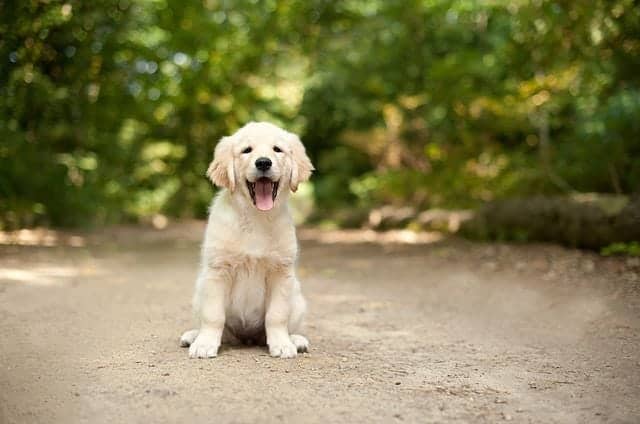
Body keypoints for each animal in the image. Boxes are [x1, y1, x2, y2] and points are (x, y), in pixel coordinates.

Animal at [179, 121, 314, 358]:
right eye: (247, 150)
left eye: (277, 149)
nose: (263, 162)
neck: (256, 217)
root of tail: (246, 337)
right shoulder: (218, 271)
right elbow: (213, 316)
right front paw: (204, 344)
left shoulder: (281, 272)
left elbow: (277, 315)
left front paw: (282, 344)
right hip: (199, 291)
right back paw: (193, 336)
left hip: (297, 297)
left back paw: (296, 339)